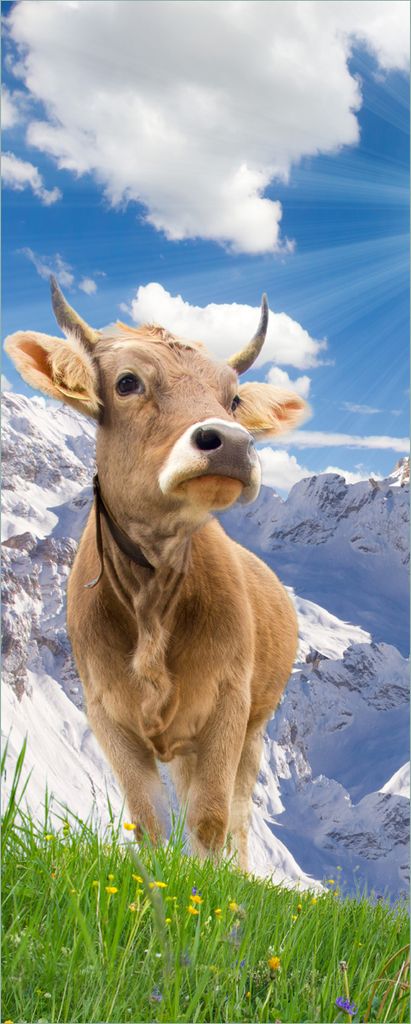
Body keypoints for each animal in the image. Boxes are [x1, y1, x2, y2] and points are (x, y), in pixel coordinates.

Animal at [5, 281, 308, 868]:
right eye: (128, 382)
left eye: (233, 399)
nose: (231, 442)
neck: (151, 598)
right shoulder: (107, 715)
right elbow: (147, 822)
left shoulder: (228, 705)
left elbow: (211, 821)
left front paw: (210, 891)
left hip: (255, 727)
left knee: (238, 815)